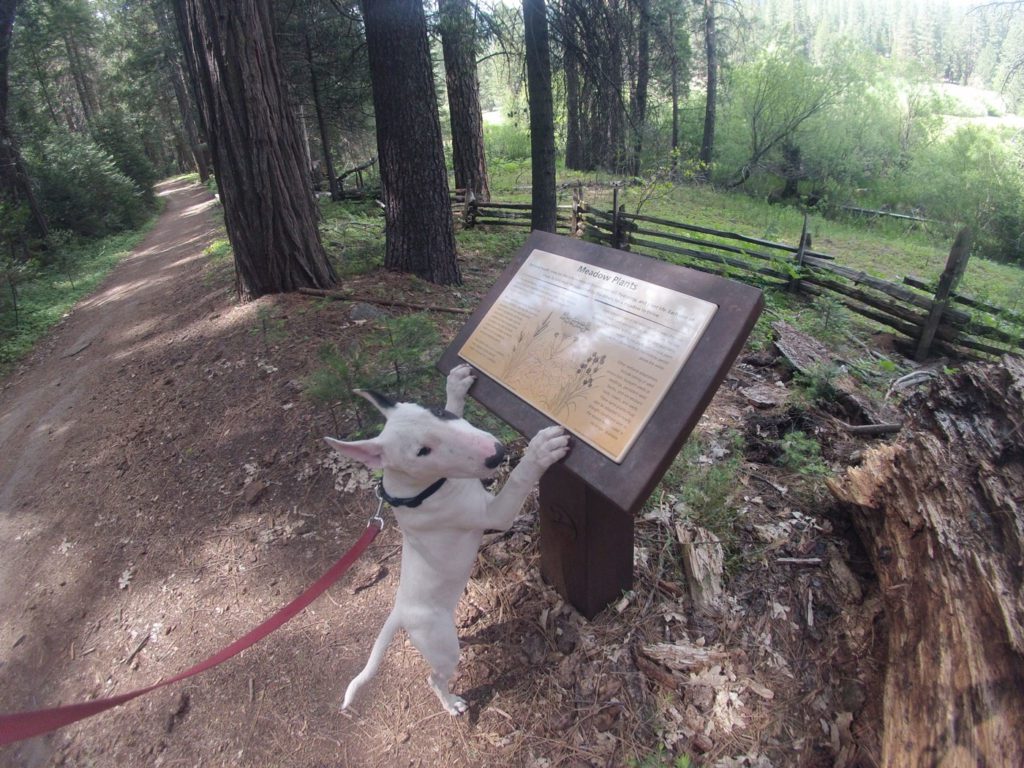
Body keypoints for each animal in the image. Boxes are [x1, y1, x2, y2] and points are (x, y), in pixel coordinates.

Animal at [325, 364, 573, 720]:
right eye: (422, 451)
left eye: (439, 413)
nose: (497, 454)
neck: (423, 489)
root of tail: (400, 611)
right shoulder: (495, 514)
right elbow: (518, 479)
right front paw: (541, 449)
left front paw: (455, 385)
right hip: (440, 646)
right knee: (434, 678)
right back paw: (451, 702)